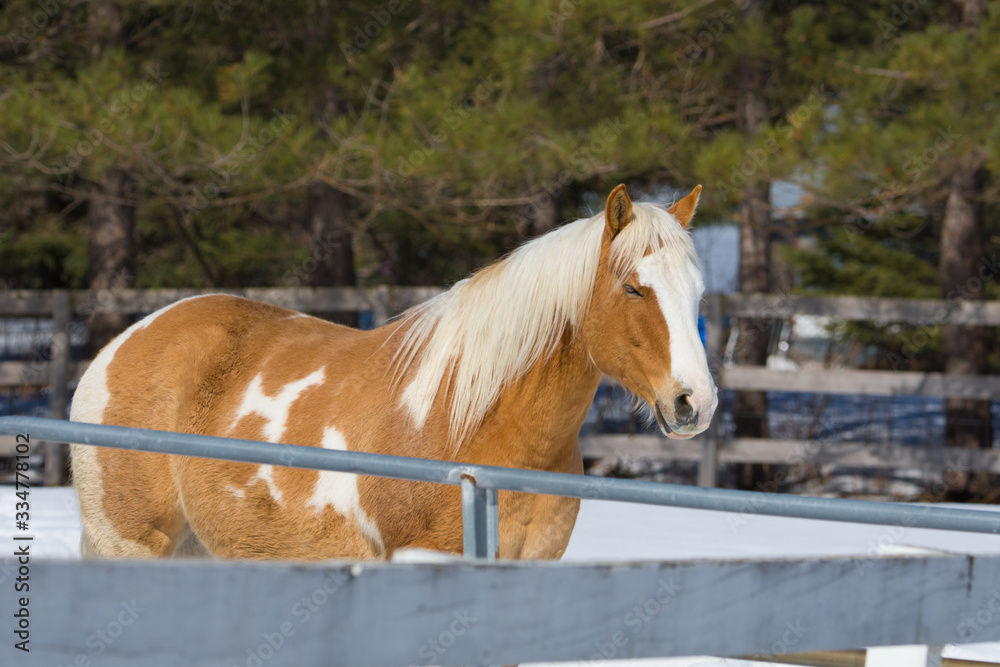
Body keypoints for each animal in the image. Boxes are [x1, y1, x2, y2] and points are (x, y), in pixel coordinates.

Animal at [70, 184, 718, 560]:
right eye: (634, 288)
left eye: (698, 292)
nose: (696, 403)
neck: (470, 422)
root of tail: (121, 344)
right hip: (133, 547)